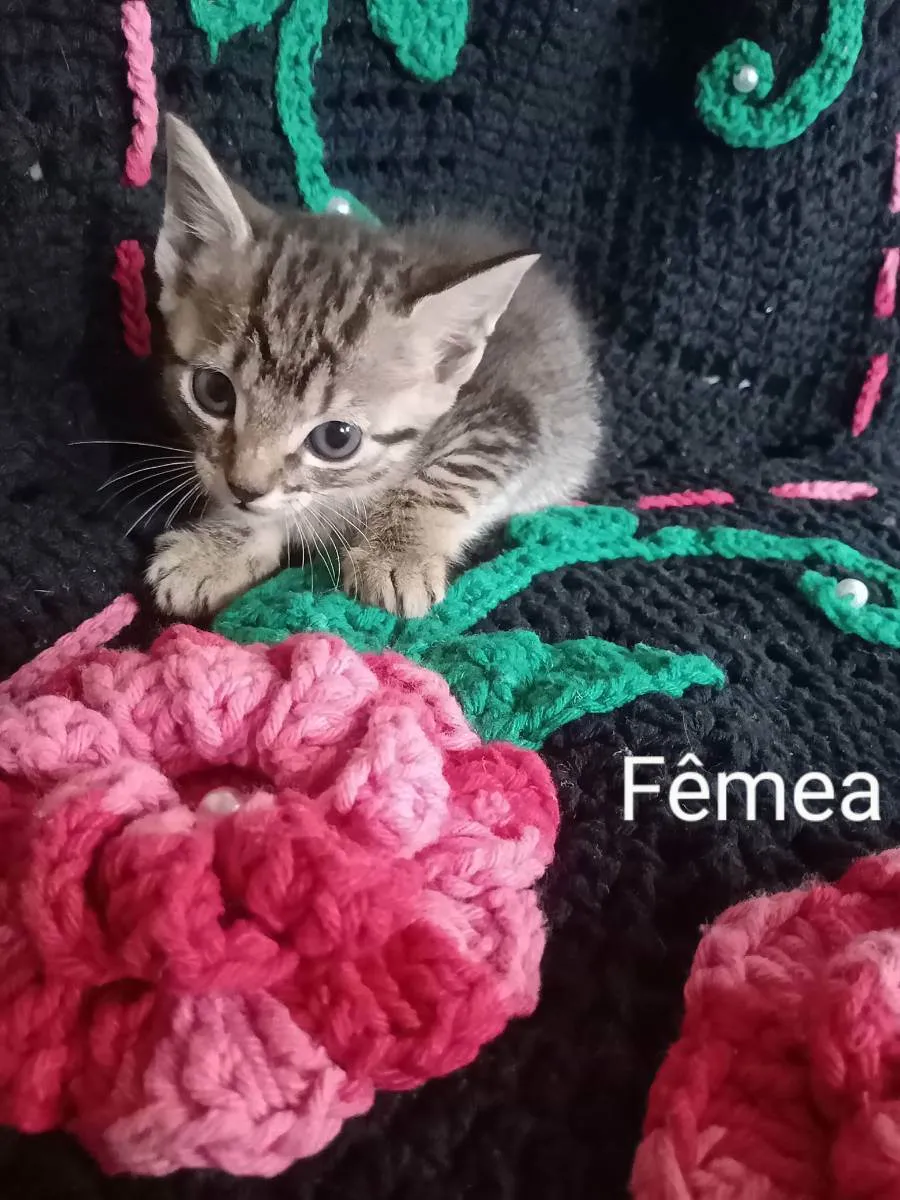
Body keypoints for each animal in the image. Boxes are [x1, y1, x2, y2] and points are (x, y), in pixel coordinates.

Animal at [146, 115, 603, 619]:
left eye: (336, 439)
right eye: (214, 392)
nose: (245, 488)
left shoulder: (503, 417)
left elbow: (447, 474)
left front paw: (396, 553)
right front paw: (220, 546)